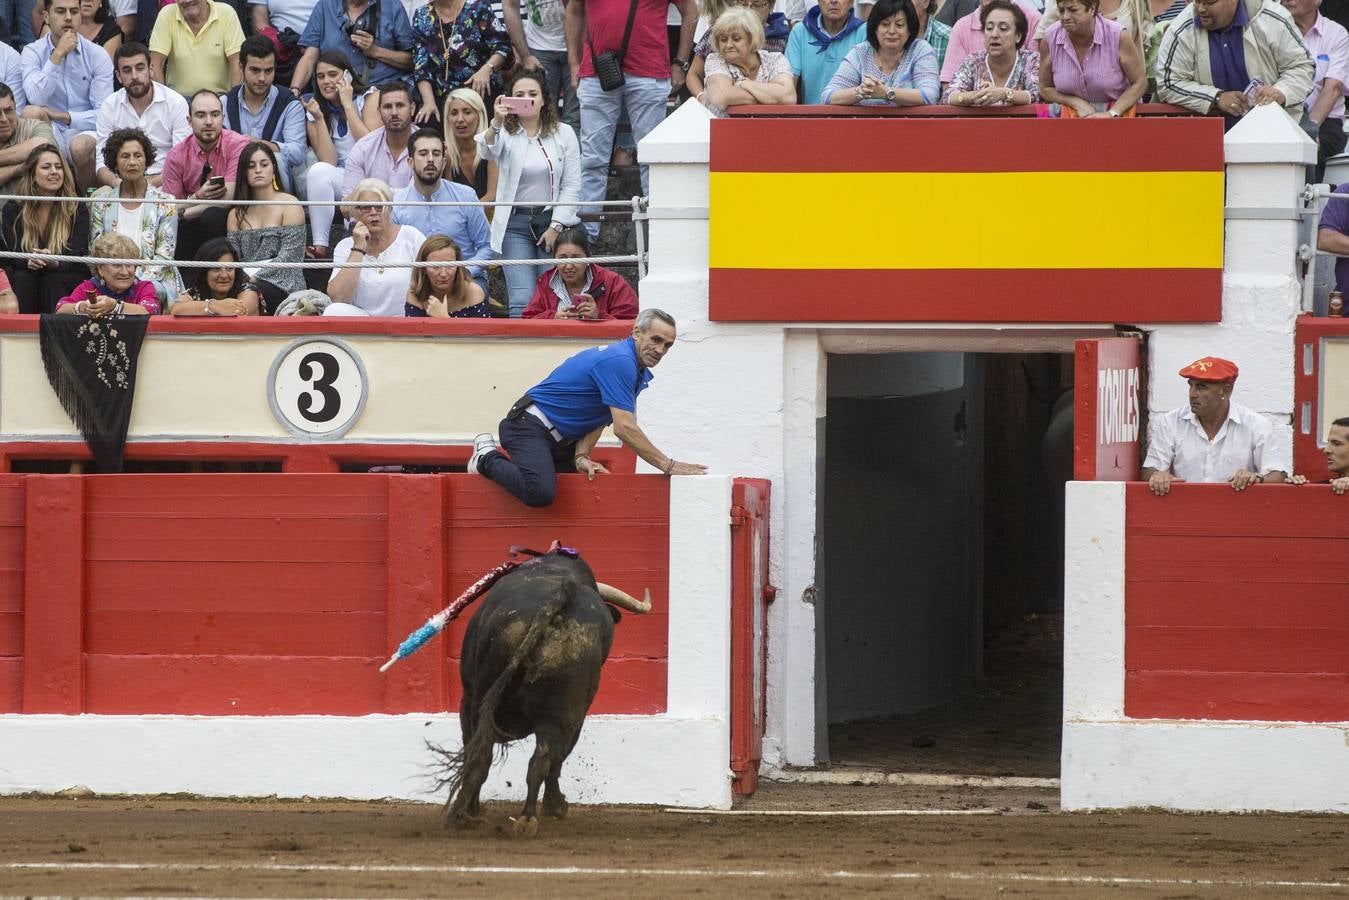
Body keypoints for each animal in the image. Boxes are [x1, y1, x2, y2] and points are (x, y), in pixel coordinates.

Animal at [426, 553, 647, 841]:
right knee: (541, 759)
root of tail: (558, 600)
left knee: (487, 756)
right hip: (562, 715)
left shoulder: (467, 701)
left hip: (490, 705)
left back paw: (470, 815)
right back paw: (527, 818)